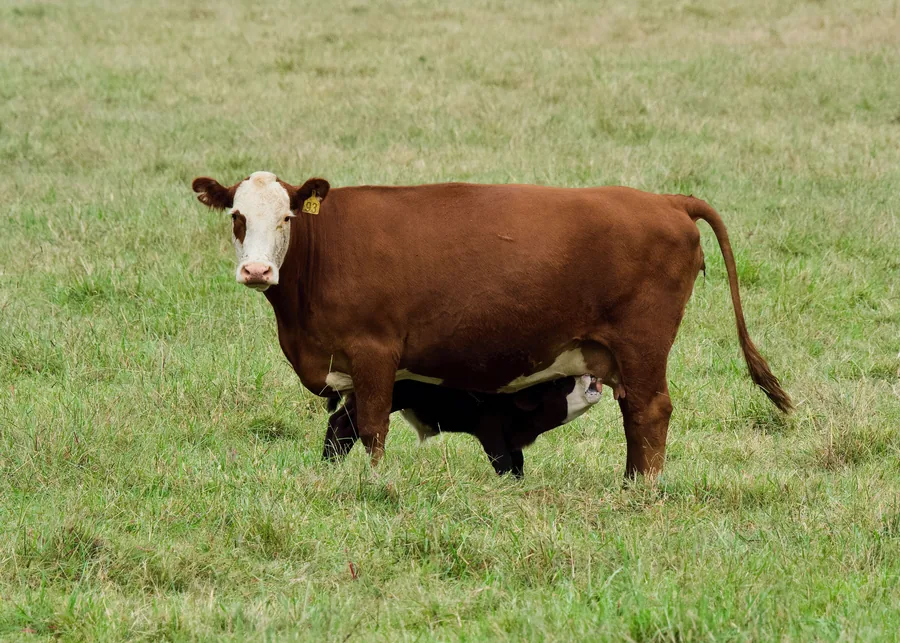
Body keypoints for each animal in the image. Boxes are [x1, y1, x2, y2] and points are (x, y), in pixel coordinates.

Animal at [326, 375, 603, 477]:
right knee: (343, 425)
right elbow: (503, 464)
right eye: (560, 383)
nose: (592, 377)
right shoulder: (491, 432)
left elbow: (518, 464)